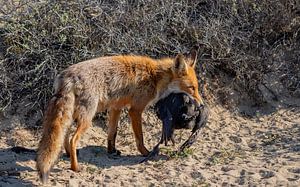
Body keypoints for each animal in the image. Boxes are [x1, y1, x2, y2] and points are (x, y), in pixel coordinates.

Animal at [36, 50, 203, 183]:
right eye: (191, 88)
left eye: (197, 88)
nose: (201, 105)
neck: (155, 77)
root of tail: (68, 77)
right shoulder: (135, 110)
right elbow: (140, 137)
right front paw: (146, 153)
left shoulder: (116, 107)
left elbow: (112, 133)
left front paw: (112, 151)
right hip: (87, 118)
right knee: (72, 139)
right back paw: (75, 167)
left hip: (73, 116)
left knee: (64, 136)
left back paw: (68, 154)